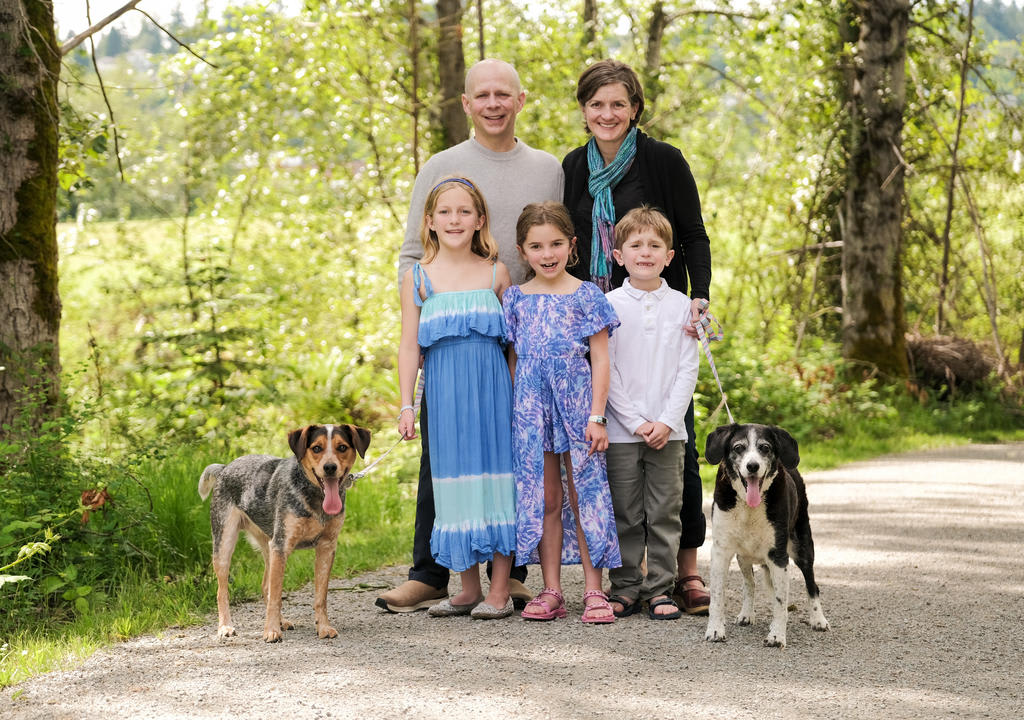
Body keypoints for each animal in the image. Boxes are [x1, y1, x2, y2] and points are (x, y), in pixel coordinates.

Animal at [197, 421, 370, 643]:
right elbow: (277, 596)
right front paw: (271, 631)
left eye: (342, 447)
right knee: (223, 591)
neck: (315, 497)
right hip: (225, 543)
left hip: (269, 546)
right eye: (316, 448)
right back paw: (225, 626)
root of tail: (224, 468)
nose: (330, 468)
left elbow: (320, 597)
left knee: (265, 586)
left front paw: (323, 627)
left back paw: (282, 622)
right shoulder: (281, 545)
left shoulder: (326, 547)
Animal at [704, 421, 831, 647]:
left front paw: (777, 635)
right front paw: (716, 629)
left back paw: (818, 619)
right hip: (743, 557)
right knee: (750, 584)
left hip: (802, 548)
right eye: (738, 447)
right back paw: (747, 614)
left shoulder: (778, 556)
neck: (748, 507)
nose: (752, 466)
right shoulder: (720, 551)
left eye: (765, 447)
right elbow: (717, 596)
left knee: (812, 585)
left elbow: (781, 600)